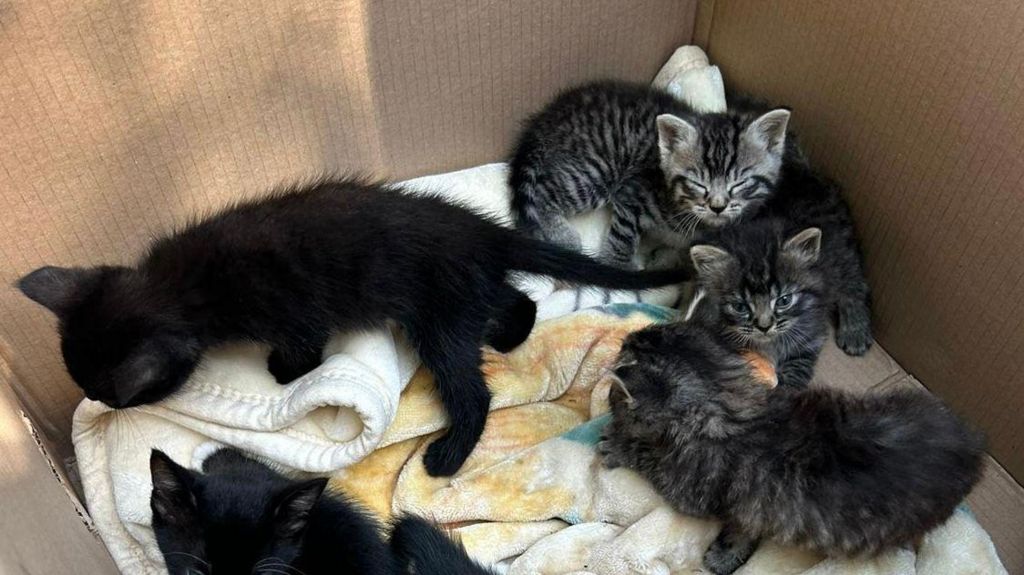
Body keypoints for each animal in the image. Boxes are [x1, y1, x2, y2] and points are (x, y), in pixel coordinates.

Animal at [16, 178, 684, 474]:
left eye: (118, 395)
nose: (105, 404)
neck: (180, 286)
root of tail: (481, 231)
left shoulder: (292, 313)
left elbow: (302, 353)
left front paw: (284, 373)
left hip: (438, 315)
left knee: (474, 389)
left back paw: (449, 454)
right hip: (468, 294)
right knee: (519, 302)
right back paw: (509, 333)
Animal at [507, 80, 786, 266]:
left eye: (740, 183)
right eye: (697, 183)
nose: (717, 207)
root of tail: (552, 113)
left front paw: (664, 259)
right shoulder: (631, 192)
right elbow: (624, 235)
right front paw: (616, 265)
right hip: (597, 170)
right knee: (544, 193)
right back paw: (563, 236)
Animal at [598, 319, 983, 568]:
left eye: (628, 349)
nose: (628, 335)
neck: (724, 401)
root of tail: (974, 448)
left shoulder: (691, 489)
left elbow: (650, 460)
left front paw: (615, 445)